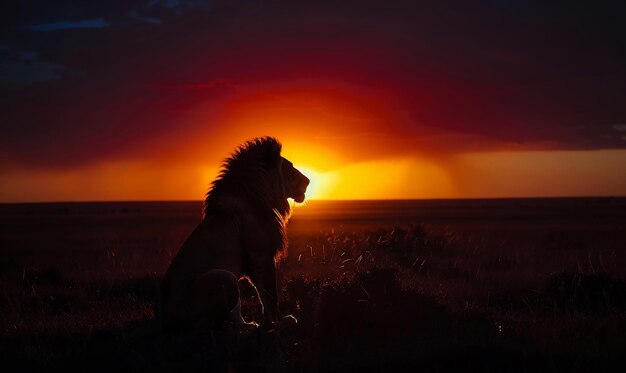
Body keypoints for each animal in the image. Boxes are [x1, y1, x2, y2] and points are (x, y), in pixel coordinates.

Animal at [160, 137, 308, 332]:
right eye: (289, 166)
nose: (308, 181)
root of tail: (163, 319)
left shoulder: (256, 260)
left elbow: (262, 294)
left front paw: (270, 322)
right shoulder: (262, 254)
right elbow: (270, 293)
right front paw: (281, 321)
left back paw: (247, 324)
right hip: (226, 278)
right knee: (206, 324)